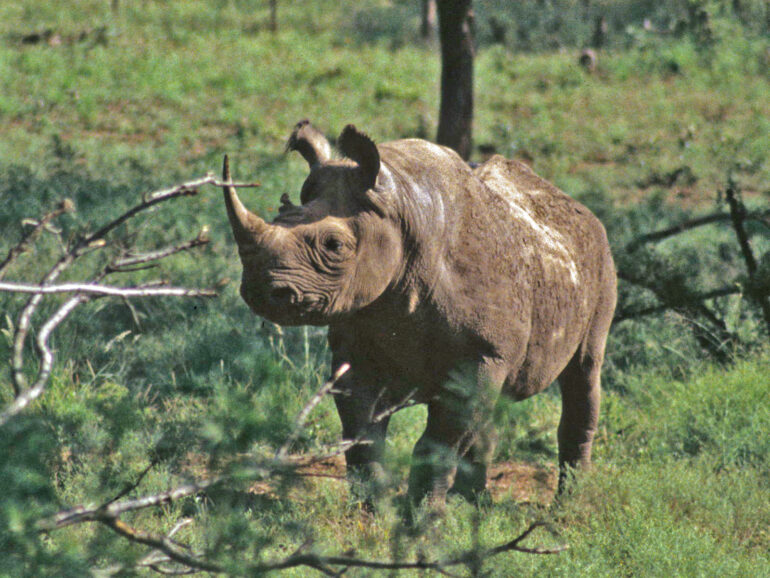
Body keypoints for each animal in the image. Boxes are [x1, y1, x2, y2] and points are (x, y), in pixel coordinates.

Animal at [222, 120, 616, 505]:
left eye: (334, 245)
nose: (260, 290)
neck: (398, 206)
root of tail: (574, 204)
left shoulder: (483, 352)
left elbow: (437, 444)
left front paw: (421, 516)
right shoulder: (357, 342)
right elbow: (362, 434)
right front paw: (372, 508)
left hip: (600, 262)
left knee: (584, 371)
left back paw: (564, 507)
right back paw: (474, 504)